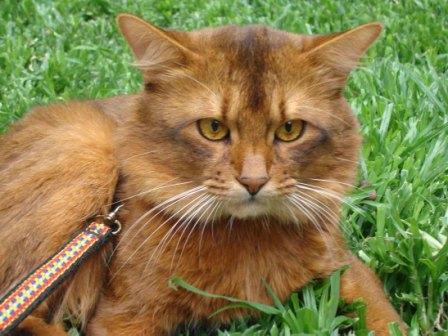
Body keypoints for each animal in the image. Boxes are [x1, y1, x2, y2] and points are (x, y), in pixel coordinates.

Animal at [0, 13, 406, 336]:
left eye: (290, 130)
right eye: (212, 128)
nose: (254, 181)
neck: (246, 236)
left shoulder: (347, 268)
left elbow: (387, 319)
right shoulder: (121, 316)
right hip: (86, 152)